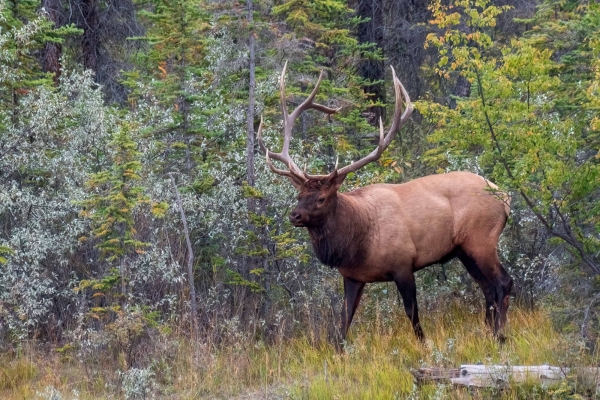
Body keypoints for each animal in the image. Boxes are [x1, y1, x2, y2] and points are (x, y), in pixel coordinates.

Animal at [256, 64, 510, 346]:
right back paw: (488, 331)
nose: (295, 215)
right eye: (299, 194)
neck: (357, 242)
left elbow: (412, 313)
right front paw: (339, 350)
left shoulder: (403, 264)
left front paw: (424, 345)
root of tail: (506, 198)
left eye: (321, 198)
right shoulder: (352, 276)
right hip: (463, 249)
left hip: (481, 239)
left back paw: (499, 335)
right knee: (487, 288)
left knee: (503, 283)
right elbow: (344, 320)